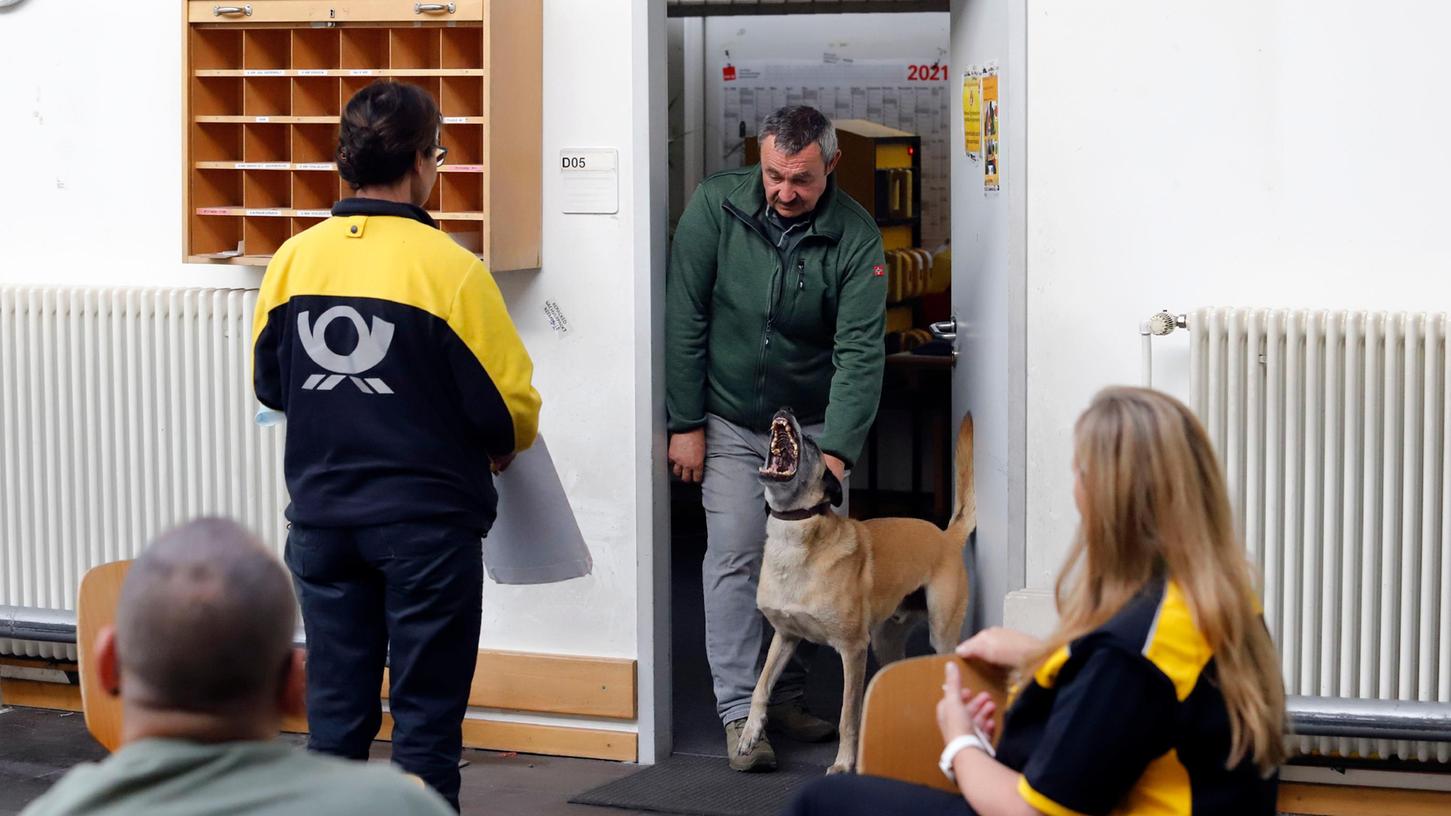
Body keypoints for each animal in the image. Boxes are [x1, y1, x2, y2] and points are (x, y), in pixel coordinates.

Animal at [737, 406, 975, 766]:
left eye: (812, 443)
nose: (785, 409)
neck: (797, 541)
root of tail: (946, 537)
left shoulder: (853, 649)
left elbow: (848, 715)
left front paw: (844, 763)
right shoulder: (786, 636)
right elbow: (761, 687)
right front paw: (751, 732)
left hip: (941, 634)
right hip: (886, 642)